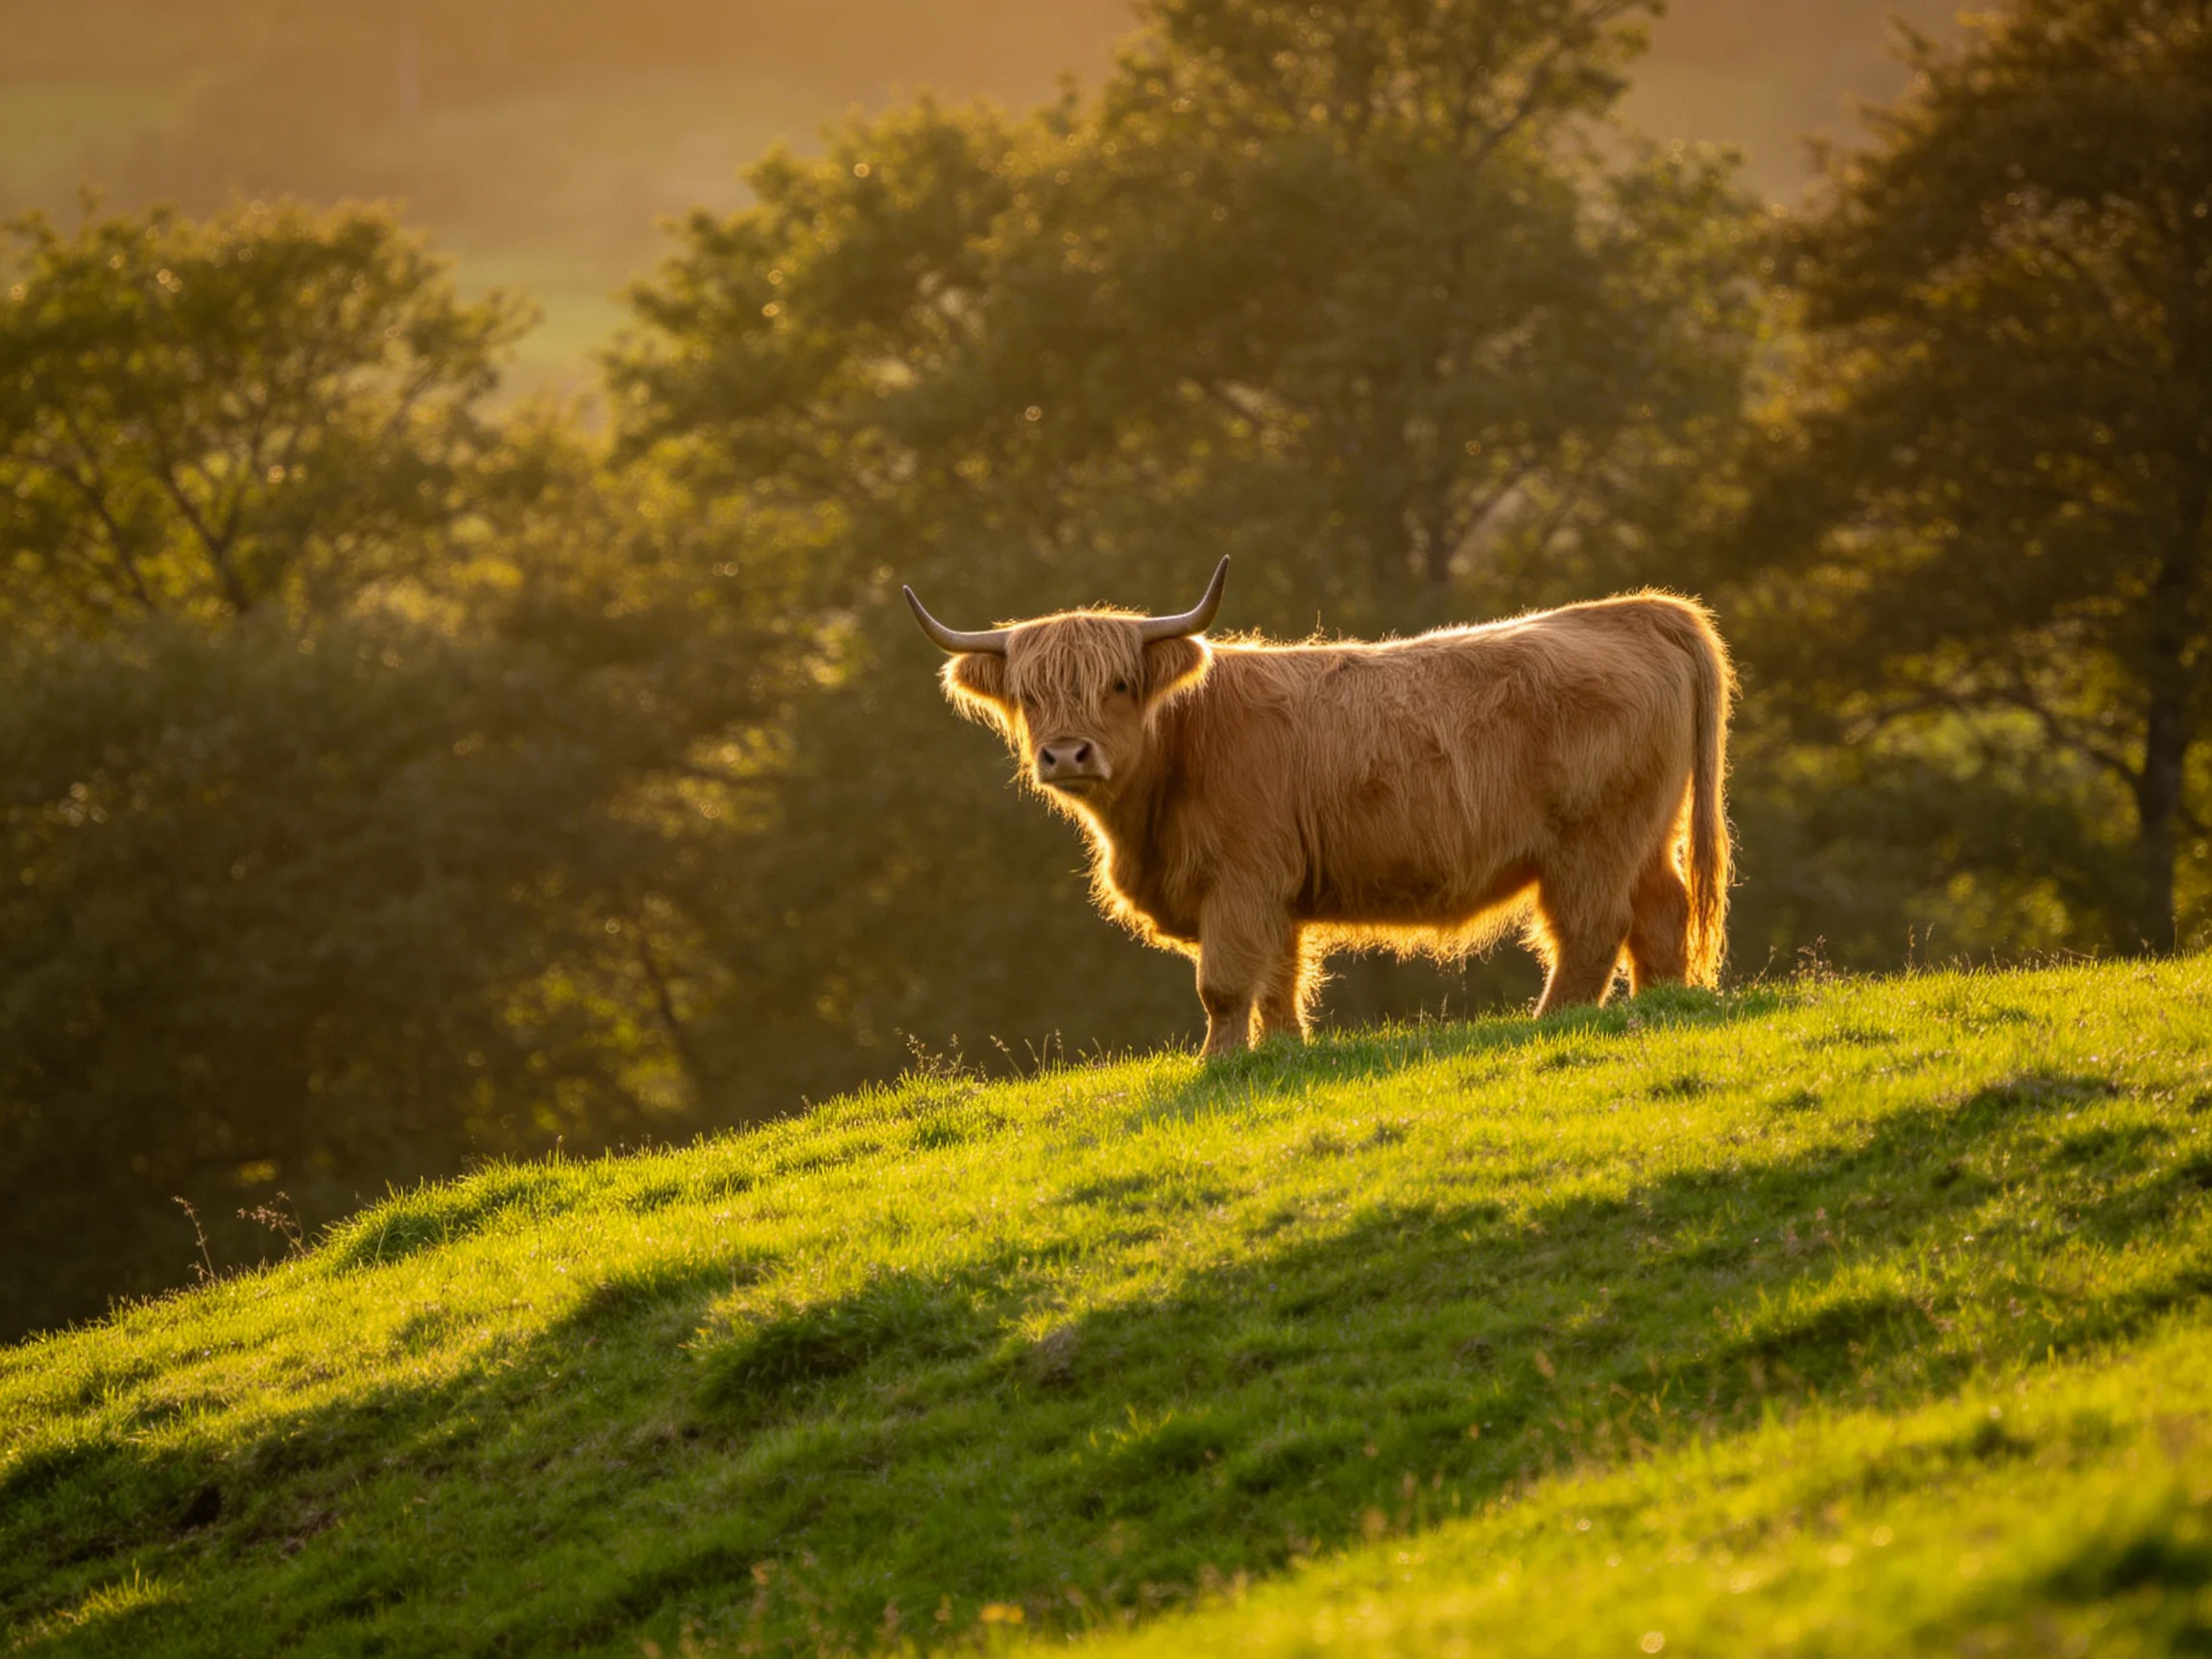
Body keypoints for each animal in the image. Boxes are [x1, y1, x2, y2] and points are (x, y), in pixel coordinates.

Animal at [904, 558, 1733, 1056]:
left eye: (1119, 684)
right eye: (1030, 693)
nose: (1067, 754)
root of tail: (1634, 611)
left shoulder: (1240, 881)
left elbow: (1224, 984)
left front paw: (1216, 1064)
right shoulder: (1272, 893)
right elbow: (1277, 979)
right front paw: (1282, 1053)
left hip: (1591, 842)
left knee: (1590, 934)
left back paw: (1551, 1023)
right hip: (1645, 834)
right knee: (1659, 918)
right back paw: (1661, 1007)